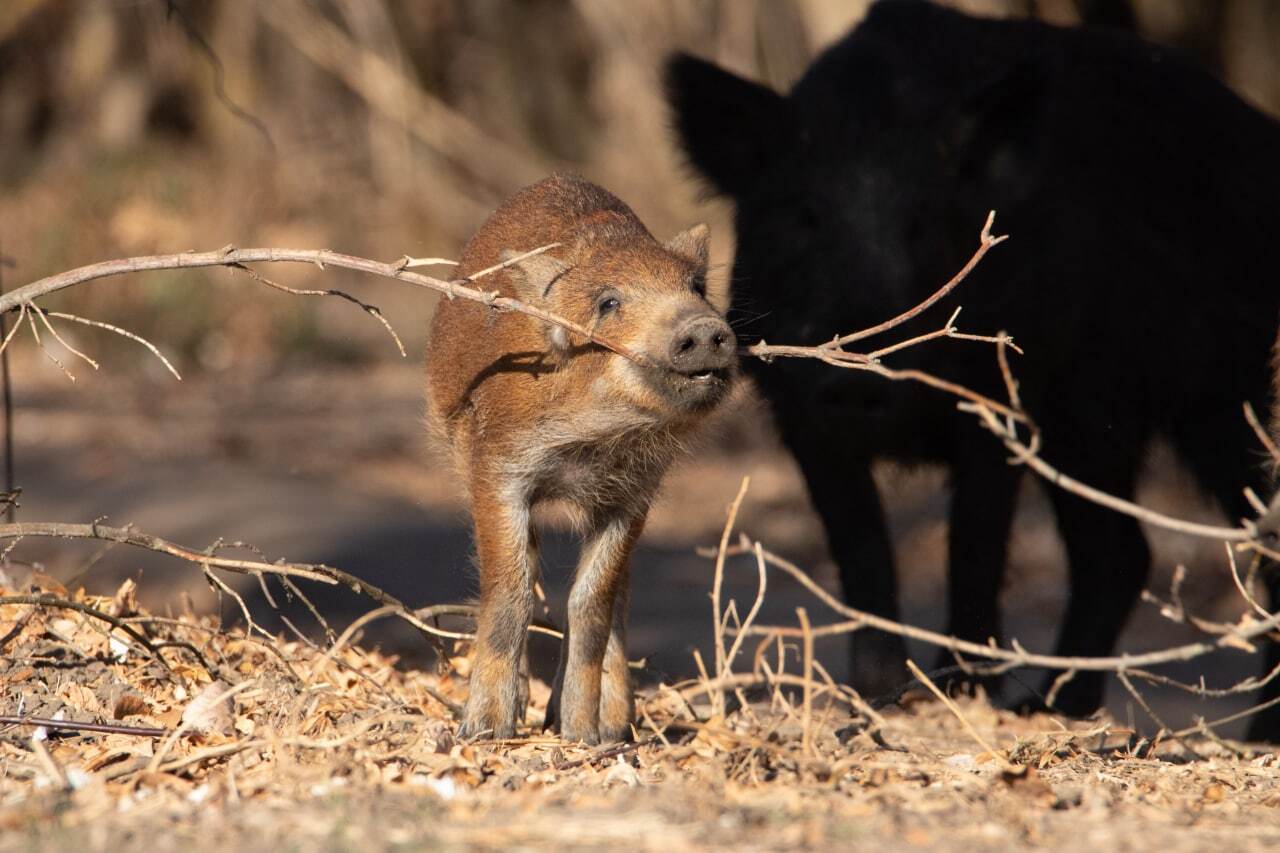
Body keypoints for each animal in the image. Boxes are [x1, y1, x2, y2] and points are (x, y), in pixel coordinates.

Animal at [665, 0, 1280, 732]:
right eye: (803, 214)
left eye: (920, 223)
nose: (855, 372)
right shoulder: (804, 417)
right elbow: (862, 549)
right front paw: (880, 694)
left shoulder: (996, 399)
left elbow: (973, 542)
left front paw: (956, 690)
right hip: (1092, 425)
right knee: (1120, 551)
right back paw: (1052, 706)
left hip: (1221, 396)